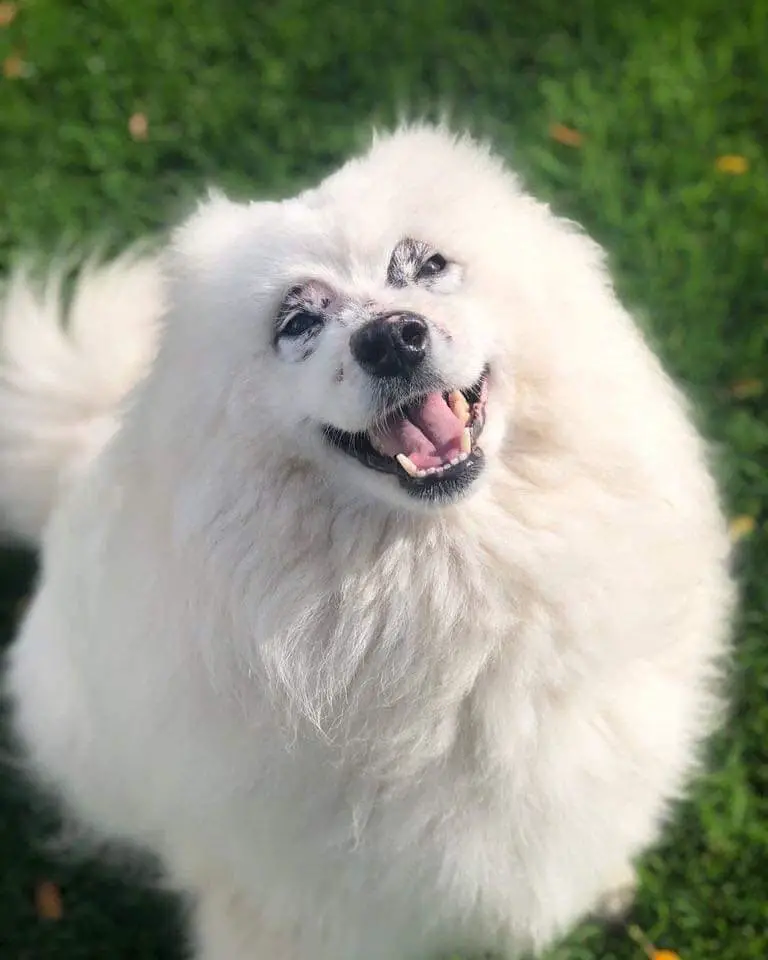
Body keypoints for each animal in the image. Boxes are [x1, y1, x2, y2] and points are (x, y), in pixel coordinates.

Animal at [0, 129, 732, 960]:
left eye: (425, 266)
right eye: (297, 322)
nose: (391, 337)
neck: (447, 607)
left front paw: (604, 887)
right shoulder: (285, 907)